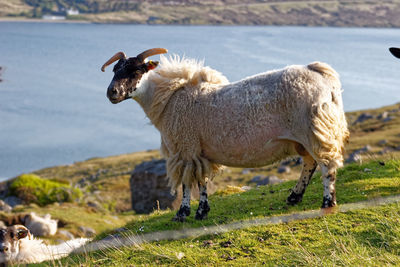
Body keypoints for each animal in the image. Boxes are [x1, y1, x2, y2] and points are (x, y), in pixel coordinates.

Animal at [101, 47, 348, 222]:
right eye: (115, 70)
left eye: (136, 71)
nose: (112, 93)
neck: (169, 99)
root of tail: (320, 73)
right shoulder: (198, 151)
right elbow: (201, 181)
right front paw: (202, 211)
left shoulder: (185, 148)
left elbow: (186, 183)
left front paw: (183, 214)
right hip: (305, 135)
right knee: (310, 163)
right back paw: (294, 197)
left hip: (314, 129)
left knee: (326, 165)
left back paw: (327, 202)